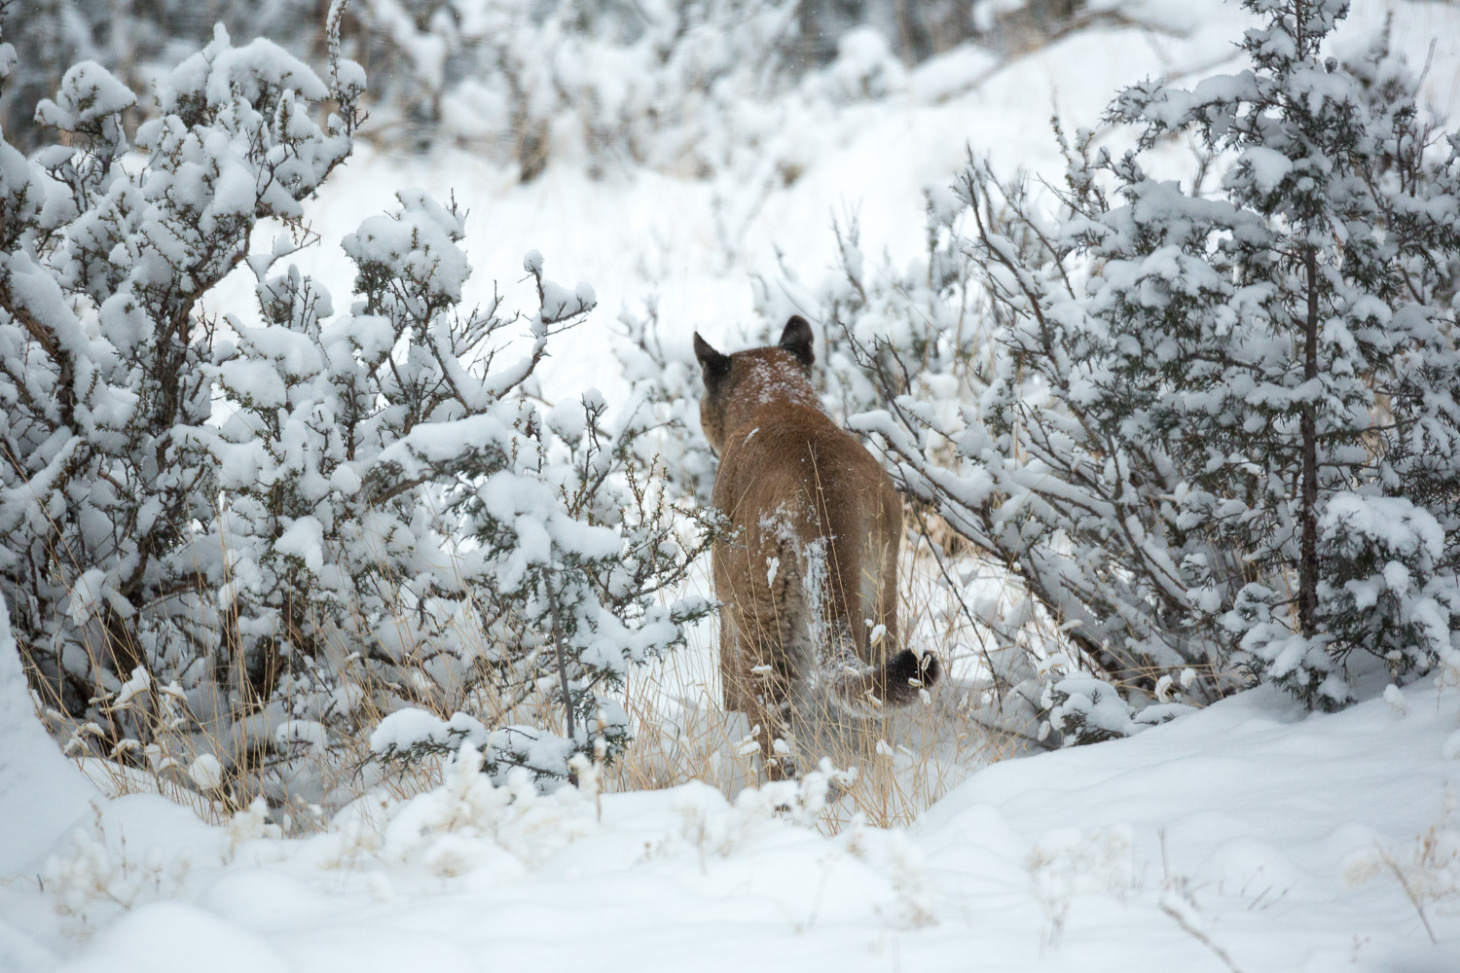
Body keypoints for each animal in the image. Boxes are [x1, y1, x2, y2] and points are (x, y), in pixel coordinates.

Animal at [694, 315, 939, 780]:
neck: (778, 398)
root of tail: (820, 489)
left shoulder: (726, 611)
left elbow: (728, 684)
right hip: (879, 601)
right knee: (872, 705)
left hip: (762, 623)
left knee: (773, 730)